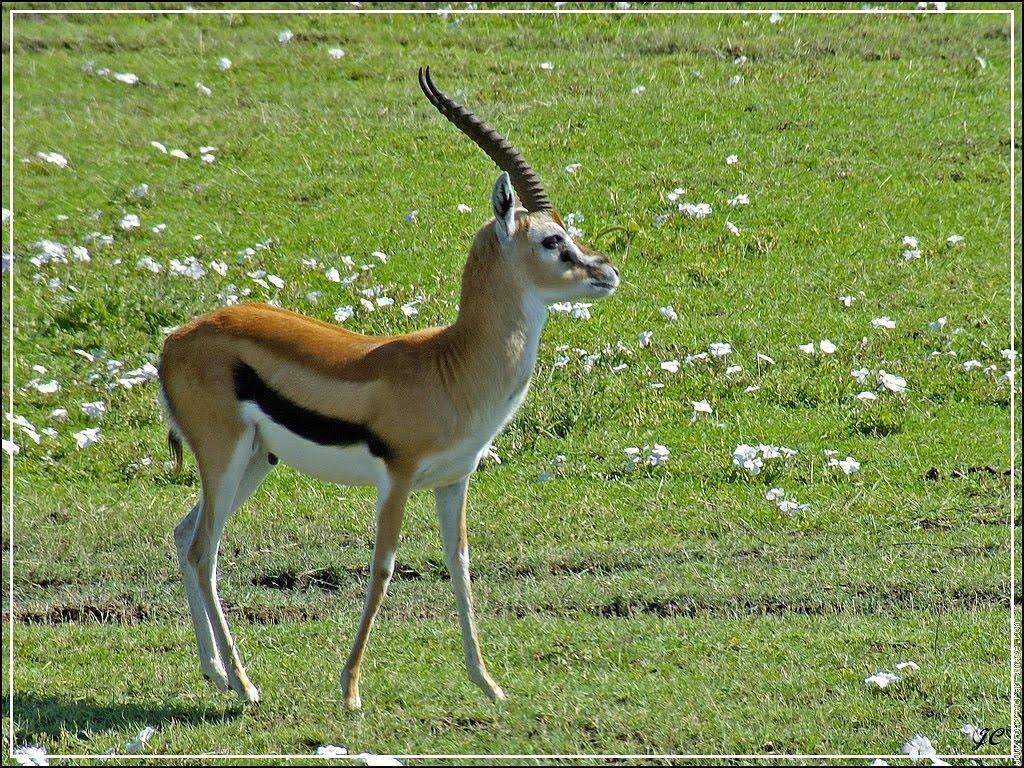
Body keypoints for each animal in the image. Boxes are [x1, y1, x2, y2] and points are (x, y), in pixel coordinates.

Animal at [159, 68, 619, 709]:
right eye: (554, 241)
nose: (606, 272)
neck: (449, 366)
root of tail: (174, 341)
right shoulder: (397, 479)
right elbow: (383, 569)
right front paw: (350, 690)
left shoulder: (453, 480)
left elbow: (461, 565)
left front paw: (488, 683)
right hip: (226, 456)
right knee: (205, 550)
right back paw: (246, 686)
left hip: (255, 460)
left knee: (184, 536)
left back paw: (215, 672)